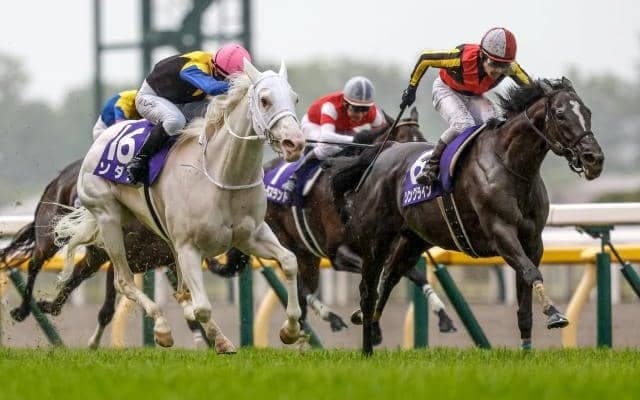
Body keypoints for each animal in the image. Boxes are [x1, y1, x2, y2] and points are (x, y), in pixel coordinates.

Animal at [0, 159, 226, 350]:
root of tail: (61, 176)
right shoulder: (115, 259)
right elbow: (107, 310)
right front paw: (93, 344)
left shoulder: (167, 261)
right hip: (51, 234)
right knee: (35, 263)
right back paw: (22, 309)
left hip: (93, 255)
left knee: (76, 275)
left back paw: (50, 306)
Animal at [53, 60, 306, 348]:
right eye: (264, 100)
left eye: (295, 98)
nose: (295, 143)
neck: (221, 174)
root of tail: (103, 136)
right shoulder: (188, 247)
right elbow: (202, 307)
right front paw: (219, 342)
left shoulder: (251, 236)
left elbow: (289, 261)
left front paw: (290, 329)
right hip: (108, 218)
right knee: (124, 281)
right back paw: (162, 327)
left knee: (179, 292)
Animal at [329, 78, 605, 355]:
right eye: (560, 114)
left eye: (588, 112)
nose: (594, 159)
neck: (510, 165)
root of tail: (384, 150)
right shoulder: (500, 232)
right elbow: (531, 272)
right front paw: (554, 312)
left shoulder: (533, 240)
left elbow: (525, 302)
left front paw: (527, 351)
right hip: (376, 239)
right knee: (368, 291)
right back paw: (367, 348)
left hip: (412, 240)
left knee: (388, 278)